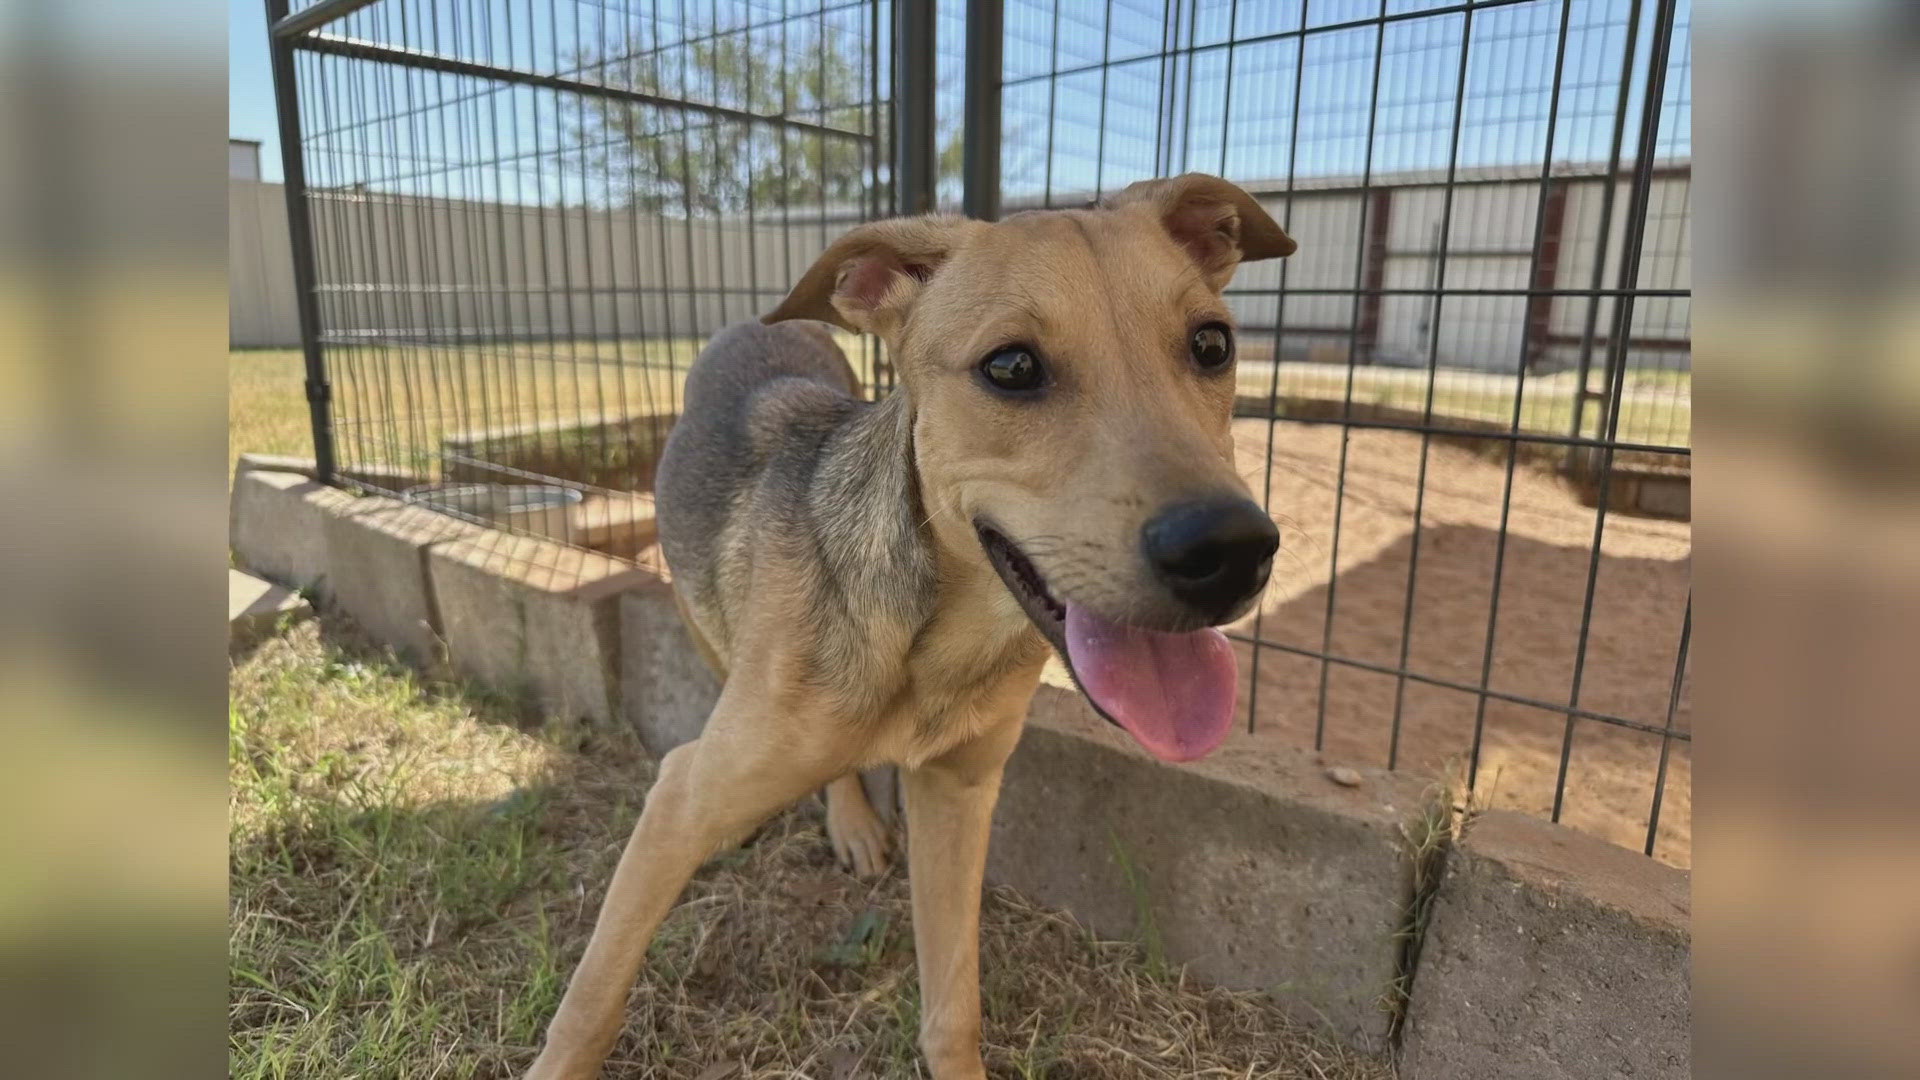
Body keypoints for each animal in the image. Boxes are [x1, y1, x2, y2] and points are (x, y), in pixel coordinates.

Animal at [529, 171, 1290, 1068]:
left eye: (1212, 345)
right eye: (1011, 366)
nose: (1233, 550)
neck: (933, 643)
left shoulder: (958, 795)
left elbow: (953, 1002)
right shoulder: (677, 802)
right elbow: (592, 997)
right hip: (703, 623)